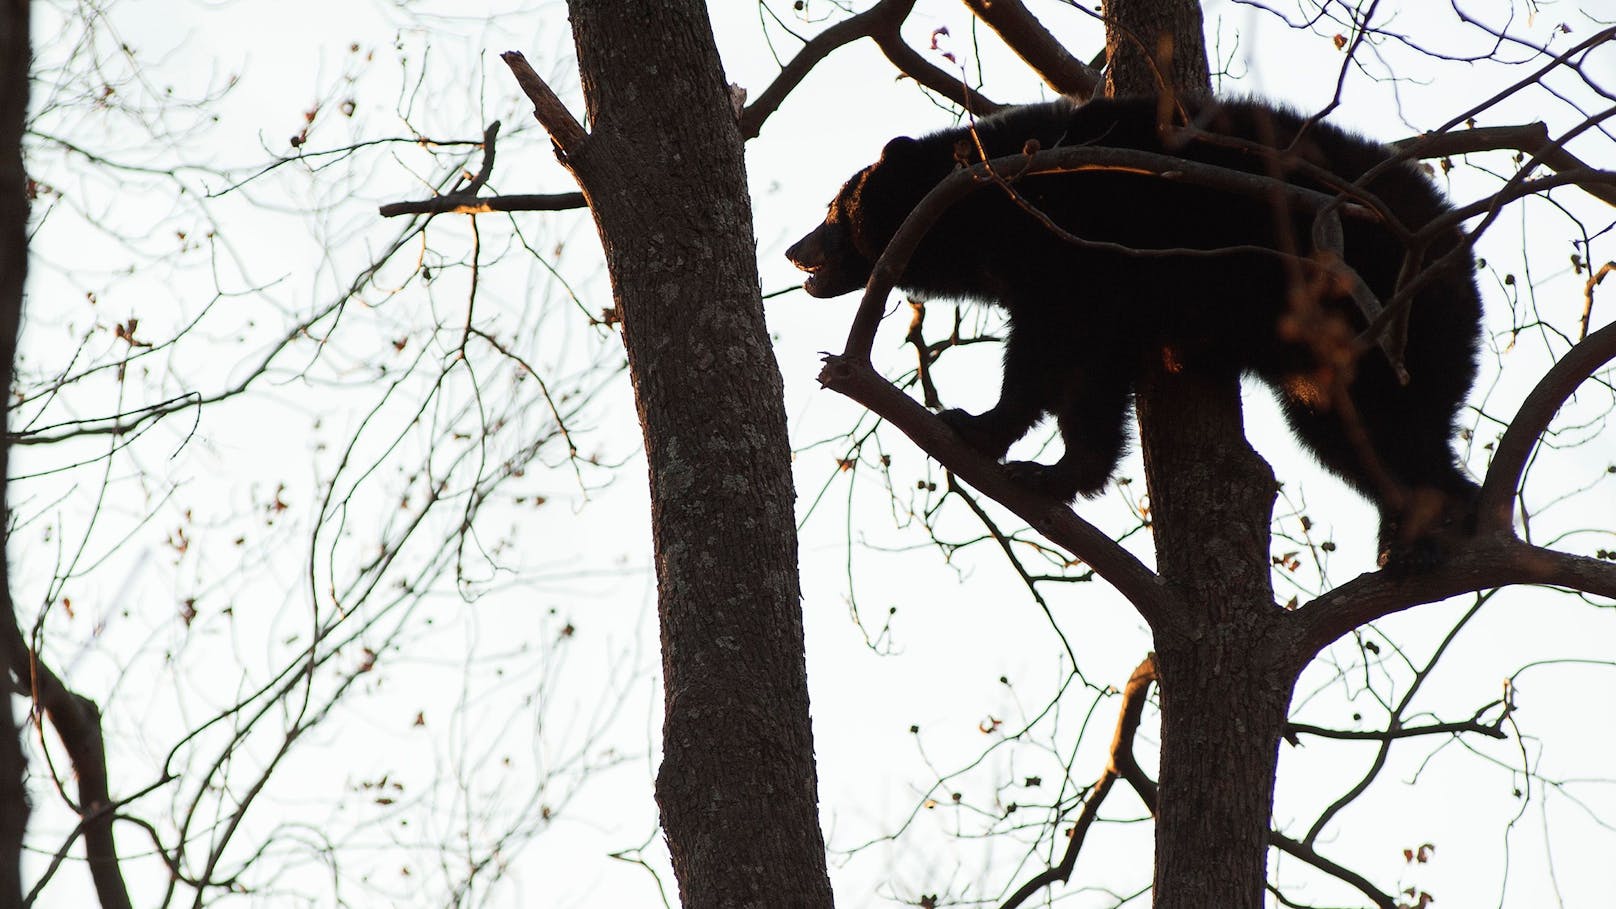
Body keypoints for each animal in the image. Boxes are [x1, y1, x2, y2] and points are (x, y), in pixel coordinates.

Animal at [788, 95, 1480, 562]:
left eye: (832, 207)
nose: (796, 250)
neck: (996, 204)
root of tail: (1457, 250)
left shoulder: (1080, 244)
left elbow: (1048, 348)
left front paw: (977, 424)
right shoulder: (1109, 289)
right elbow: (1095, 376)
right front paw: (1059, 470)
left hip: (1382, 312)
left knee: (1390, 427)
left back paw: (1428, 533)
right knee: (1349, 434)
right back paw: (1411, 529)